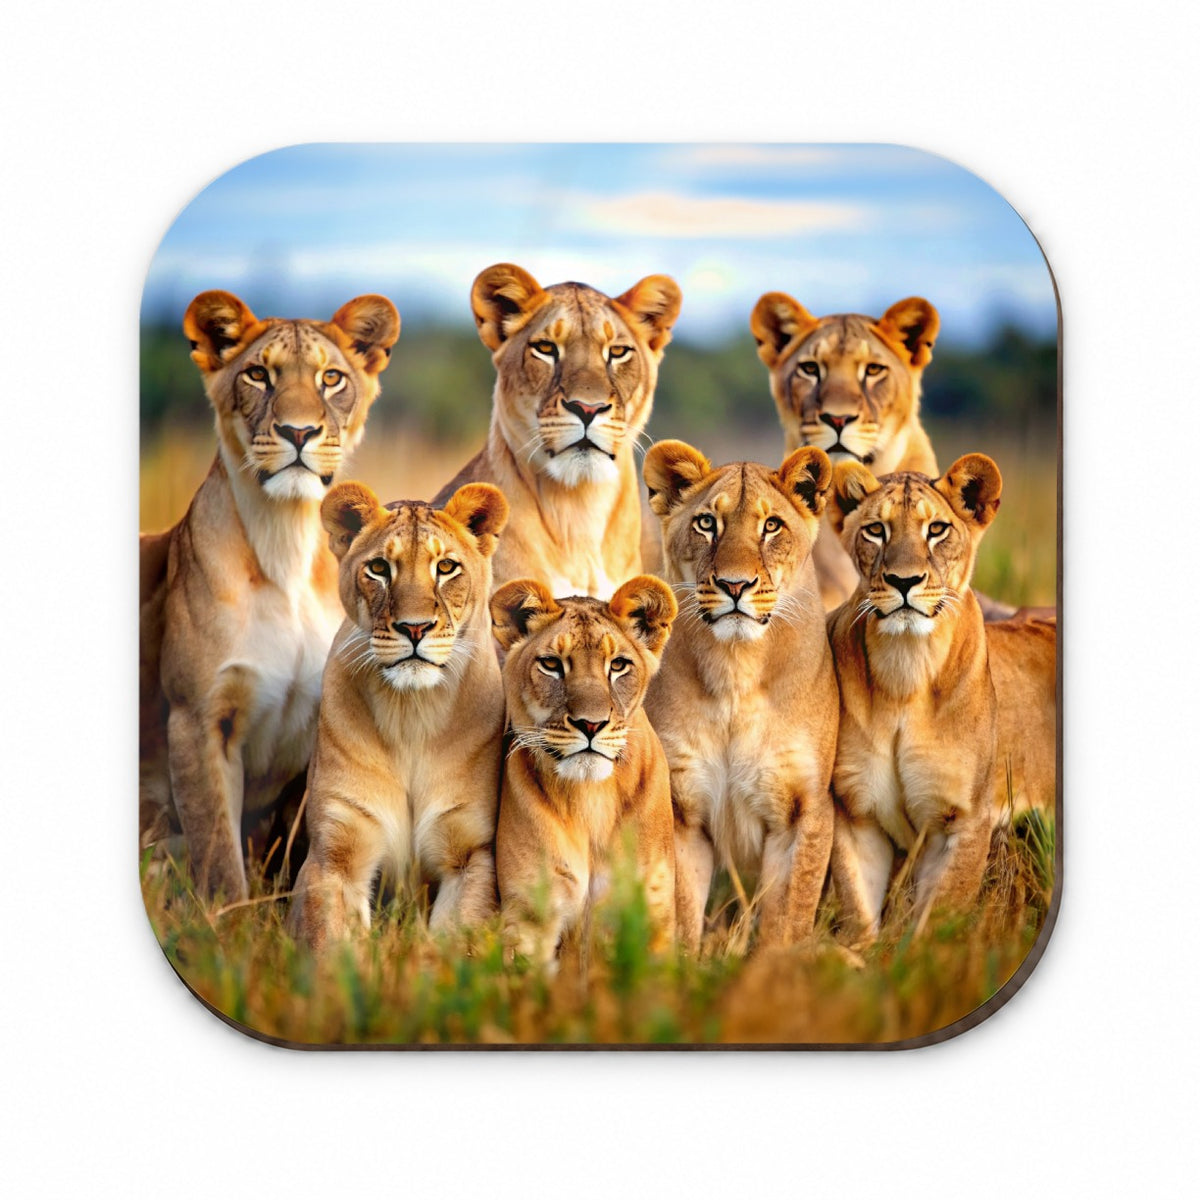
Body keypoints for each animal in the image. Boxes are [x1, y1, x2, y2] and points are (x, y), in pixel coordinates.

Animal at [139, 289, 401, 902]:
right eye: (258, 375)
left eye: (332, 378)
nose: (299, 432)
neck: (288, 542)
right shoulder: (197, 719)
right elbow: (219, 856)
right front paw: (228, 924)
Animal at [288, 481, 509, 952]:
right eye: (378, 568)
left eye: (446, 567)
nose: (414, 628)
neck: (412, 716)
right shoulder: (334, 855)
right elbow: (330, 947)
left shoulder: (473, 855)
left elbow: (453, 946)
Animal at [490, 576, 678, 966]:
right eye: (551, 664)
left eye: (618, 665)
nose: (591, 725)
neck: (591, 798)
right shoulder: (529, 917)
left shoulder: (653, 915)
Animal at [641, 440, 840, 952]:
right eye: (706, 523)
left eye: (771, 526)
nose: (735, 585)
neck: (736, 670)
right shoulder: (682, 810)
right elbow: (681, 913)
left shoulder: (803, 810)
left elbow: (787, 917)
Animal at [825, 454, 1056, 943]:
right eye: (875, 530)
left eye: (936, 529)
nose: (904, 581)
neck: (906, 670)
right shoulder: (856, 815)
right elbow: (859, 914)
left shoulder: (963, 820)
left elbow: (934, 921)